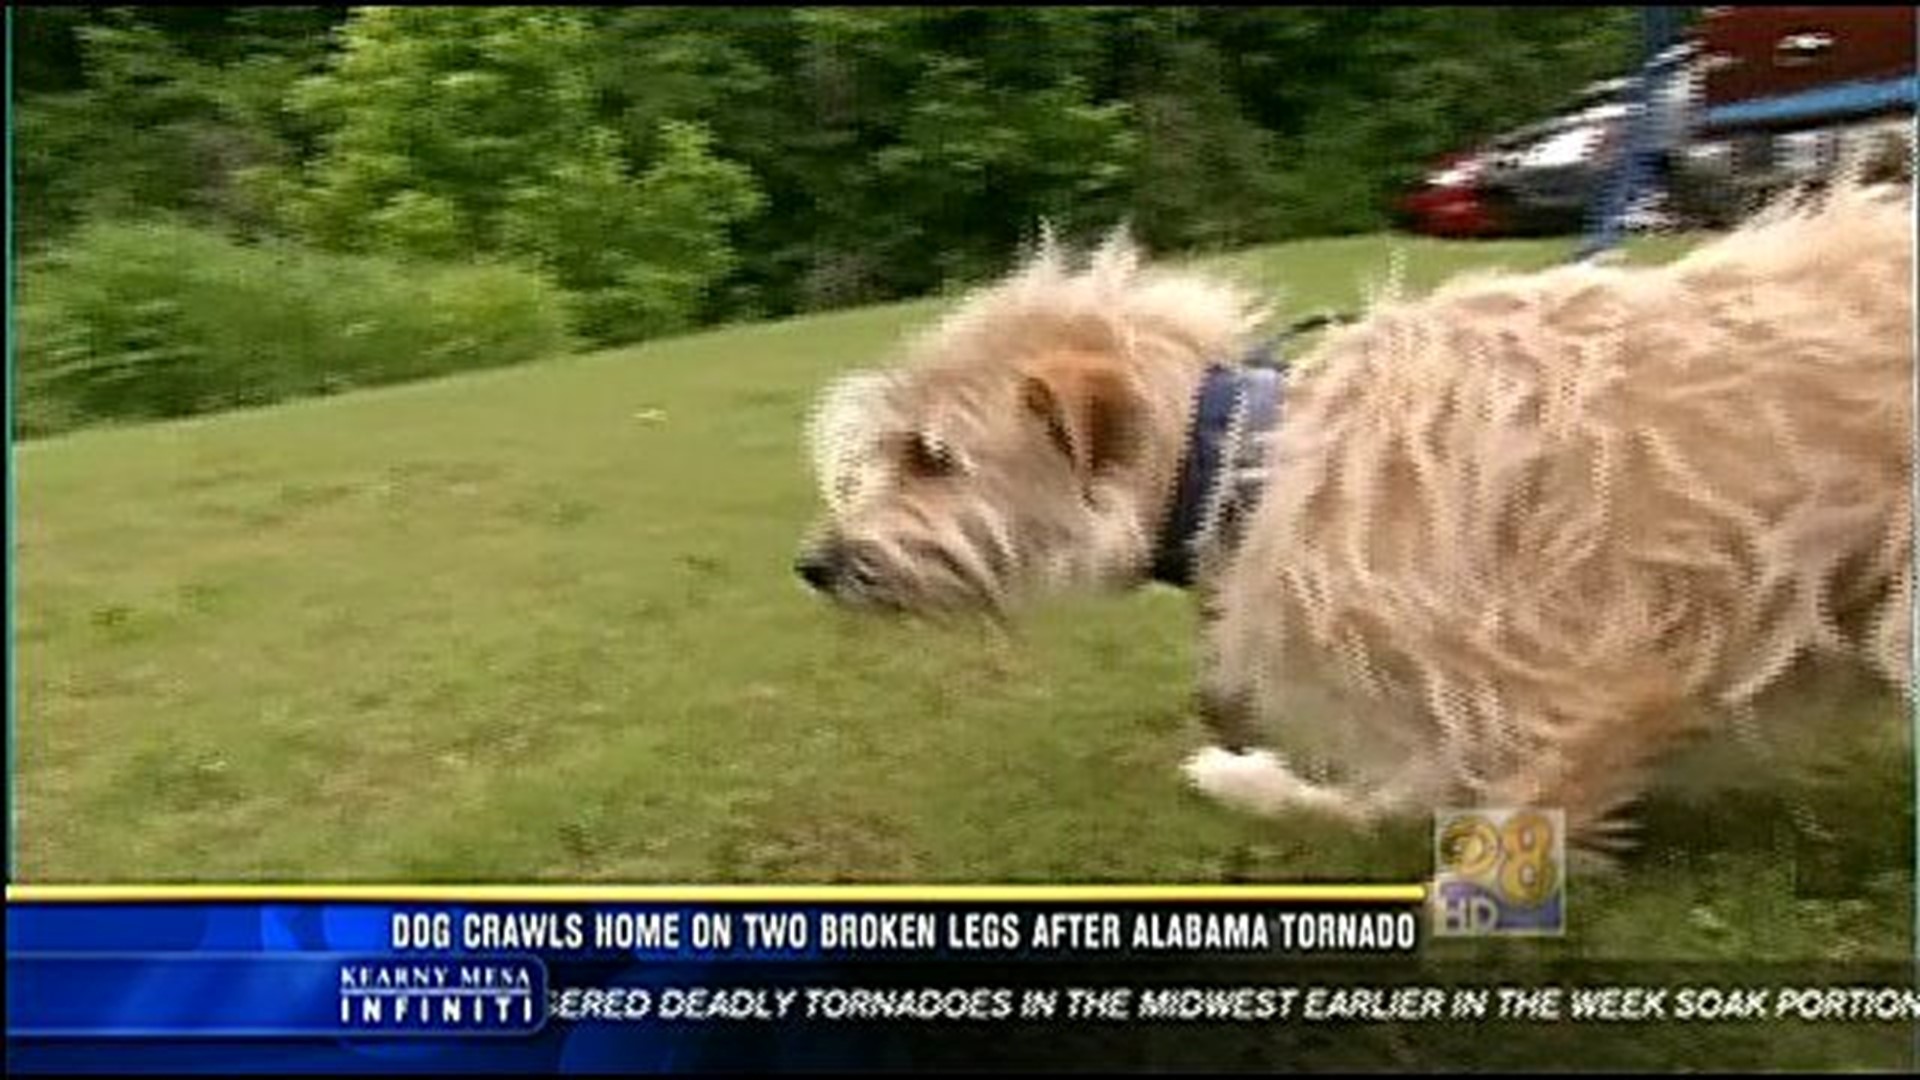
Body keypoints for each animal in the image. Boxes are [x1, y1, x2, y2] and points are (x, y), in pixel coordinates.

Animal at [791, 189, 1904, 853]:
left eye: (930, 456)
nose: (816, 564)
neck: (1243, 454)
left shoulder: (1589, 679)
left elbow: (1495, 833)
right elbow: (1398, 791)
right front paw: (1257, 784)